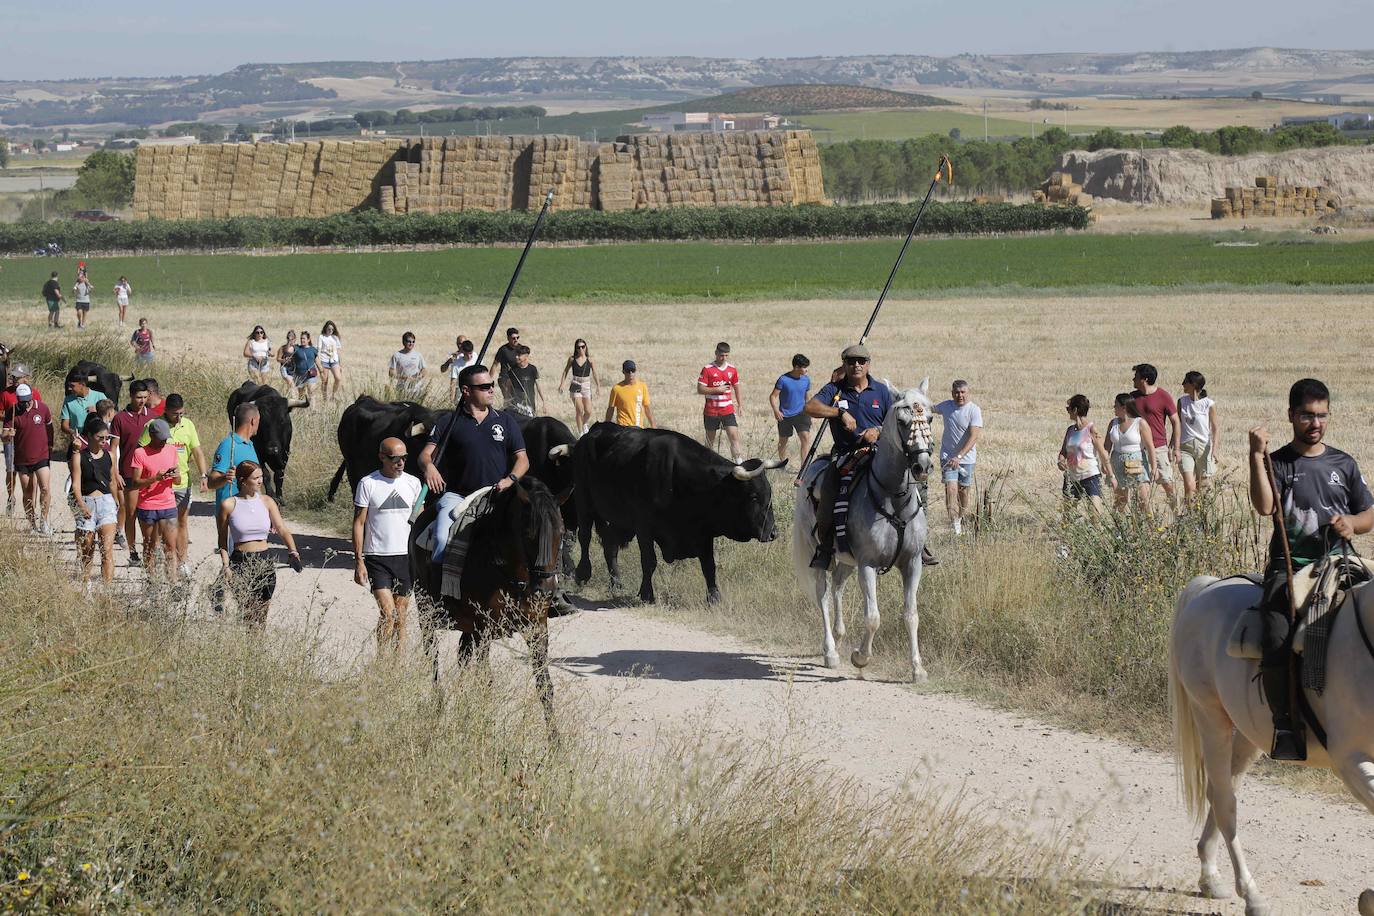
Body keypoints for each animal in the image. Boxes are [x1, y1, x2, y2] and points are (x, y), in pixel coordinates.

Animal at [571, 425, 785, 609]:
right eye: (753, 496)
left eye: (769, 493)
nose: (773, 533)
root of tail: (594, 430)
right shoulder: (644, 528)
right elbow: (649, 561)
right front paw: (647, 594)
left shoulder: (703, 532)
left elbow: (709, 566)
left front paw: (714, 598)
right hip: (584, 502)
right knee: (585, 537)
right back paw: (582, 573)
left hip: (618, 520)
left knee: (610, 545)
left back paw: (616, 583)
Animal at [791, 379, 939, 681]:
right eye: (902, 421)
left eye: (929, 418)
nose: (922, 466)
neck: (893, 499)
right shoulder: (867, 564)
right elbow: (872, 617)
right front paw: (860, 657)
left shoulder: (912, 564)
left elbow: (911, 615)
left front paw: (918, 668)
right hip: (819, 553)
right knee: (823, 593)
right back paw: (831, 651)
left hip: (847, 560)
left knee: (838, 585)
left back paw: (839, 633)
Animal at [1170, 576, 1374, 911]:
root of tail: (1206, 587)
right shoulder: (1351, 762)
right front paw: (1369, 898)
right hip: (1210, 716)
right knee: (1225, 803)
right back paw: (1250, 896)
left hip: (1250, 733)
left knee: (1223, 789)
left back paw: (1210, 877)